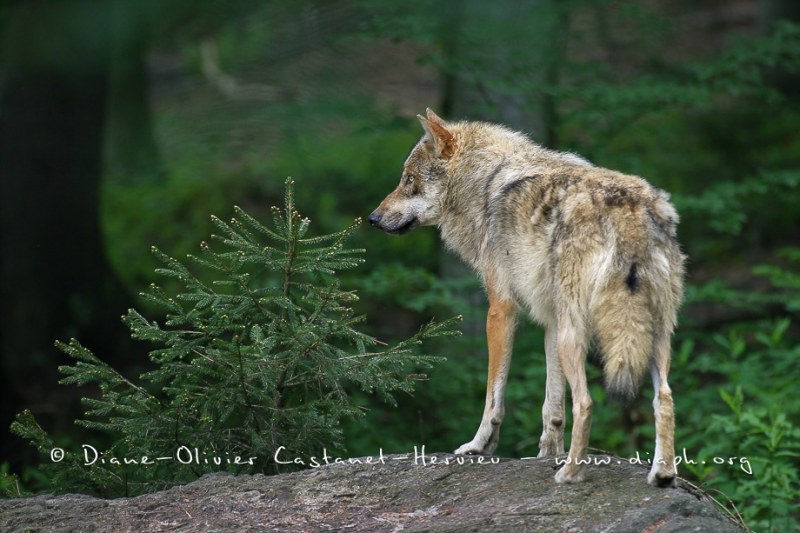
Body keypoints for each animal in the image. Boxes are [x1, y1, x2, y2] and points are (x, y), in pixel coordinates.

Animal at [370, 109, 688, 486]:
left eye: (408, 180)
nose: (372, 218)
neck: (485, 181)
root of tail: (630, 210)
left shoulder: (501, 310)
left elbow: (493, 396)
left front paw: (479, 446)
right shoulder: (550, 322)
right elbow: (552, 407)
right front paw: (546, 453)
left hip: (577, 337)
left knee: (586, 402)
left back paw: (570, 474)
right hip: (648, 335)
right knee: (664, 397)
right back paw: (662, 475)